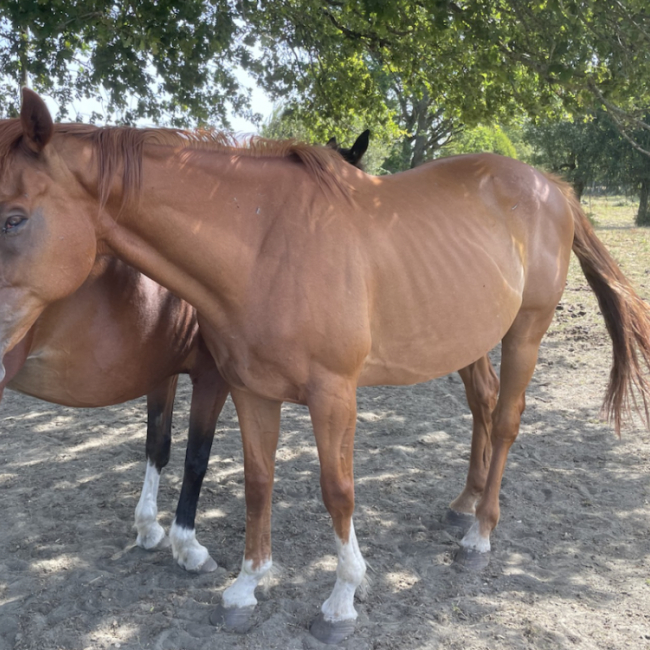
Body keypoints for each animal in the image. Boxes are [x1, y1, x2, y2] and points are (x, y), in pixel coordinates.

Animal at [2, 89, 650, 644]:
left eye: (13, 218)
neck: (264, 244)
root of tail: (551, 187)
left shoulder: (332, 396)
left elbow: (337, 491)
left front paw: (341, 600)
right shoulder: (249, 390)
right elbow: (257, 483)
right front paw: (246, 585)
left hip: (525, 334)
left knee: (509, 418)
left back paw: (480, 535)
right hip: (469, 339)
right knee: (484, 407)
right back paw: (463, 507)